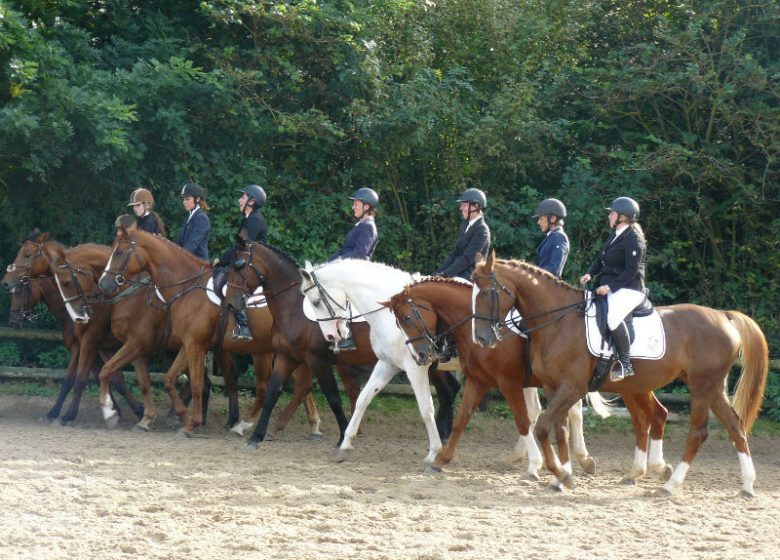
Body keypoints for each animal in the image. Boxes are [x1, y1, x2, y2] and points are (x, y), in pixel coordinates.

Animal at [225, 238, 460, 448]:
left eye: (240, 266)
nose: (230, 303)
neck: (293, 307)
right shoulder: (286, 357)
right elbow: (272, 394)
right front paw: (256, 436)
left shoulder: (318, 360)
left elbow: (333, 398)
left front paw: (341, 437)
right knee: (449, 390)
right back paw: (443, 434)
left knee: (448, 390)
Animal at [298, 258, 608, 476]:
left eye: (316, 301)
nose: (333, 337)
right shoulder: (387, 364)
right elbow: (363, 399)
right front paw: (345, 445)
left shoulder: (415, 367)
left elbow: (425, 409)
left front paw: (434, 451)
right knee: (540, 411)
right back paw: (529, 457)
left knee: (569, 412)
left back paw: (580, 459)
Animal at [384, 278, 628, 480]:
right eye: (399, 322)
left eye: (407, 317)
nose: (420, 356)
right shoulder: (478, 380)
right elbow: (461, 421)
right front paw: (441, 460)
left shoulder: (508, 382)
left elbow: (522, 420)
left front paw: (535, 464)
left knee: (570, 413)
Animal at [470, 252, 768, 496]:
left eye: (485, 293)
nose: (482, 339)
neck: (559, 322)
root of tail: (723, 316)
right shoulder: (554, 388)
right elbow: (560, 430)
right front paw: (561, 477)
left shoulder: (572, 388)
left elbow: (543, 426)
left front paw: (562, 474)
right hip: (711, 388)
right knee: (734, 426)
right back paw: (747, 485)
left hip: (701, 387)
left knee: (698, 431)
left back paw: (670, 485)